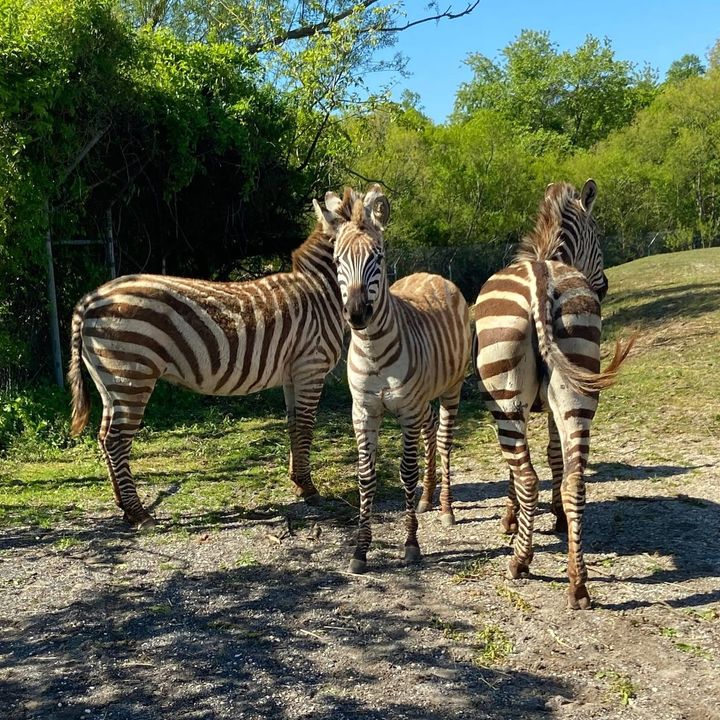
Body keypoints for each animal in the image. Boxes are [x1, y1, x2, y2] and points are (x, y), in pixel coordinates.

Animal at [69, 188, 382, 532]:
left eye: (376, 256)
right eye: (340, 260)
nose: (358, 315)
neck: (320, 292)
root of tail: (91, 299)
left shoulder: (293, 373)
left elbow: (293, 425)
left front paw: (298, 483)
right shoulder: (310, 368)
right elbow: (306, 425)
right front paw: (309, 488)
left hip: (110, 383)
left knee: (104, 438)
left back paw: (123, 507)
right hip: (132, 375)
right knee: (116, 441)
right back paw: (139, 513)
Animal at [318, 186, 470, 572]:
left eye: (378, 256)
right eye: (337, 261)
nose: (357, 314)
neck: (372, 349)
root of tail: (433, 274)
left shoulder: (406, 411)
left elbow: (406, 473)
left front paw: (411, 545)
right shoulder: (363, 412)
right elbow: (366, 476)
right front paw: (360, 551)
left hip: (451, 389)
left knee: (443, 441)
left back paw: (445, 508)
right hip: (424, 398)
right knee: (431, 430)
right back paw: (426, 498)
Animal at [472, 179, 636, 608]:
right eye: (598, 237)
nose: (605, 286)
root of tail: (541, 281)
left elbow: (520, 469)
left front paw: (511, 520)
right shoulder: (549, 406)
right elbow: (554, 456)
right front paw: (557, 518)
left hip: (506, 399)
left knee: (529, 476)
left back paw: (520, 562)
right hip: (576, 379)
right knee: (576, 480)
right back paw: (577, 584)